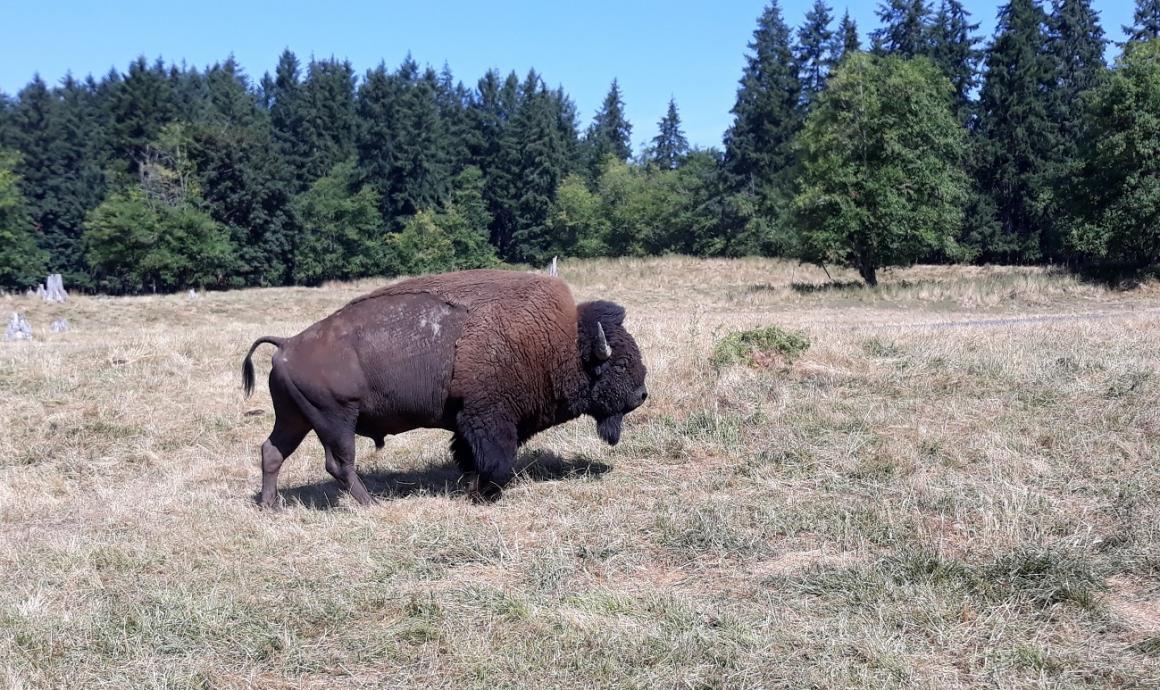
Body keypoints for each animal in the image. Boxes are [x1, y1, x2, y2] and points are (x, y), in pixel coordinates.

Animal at [241, 270, 649, 507]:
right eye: (619, 363)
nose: (642, 394)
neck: (558, 343)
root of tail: (287, 344)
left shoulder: (469, 423)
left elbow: (468, 455)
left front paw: (470, 486)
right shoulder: (489, 419)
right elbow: (496, 460)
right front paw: (486, 494)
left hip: (295, 419)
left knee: (272, 452)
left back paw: (271, 504)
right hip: (336, 420)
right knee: (339, 463)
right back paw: (370, 503)